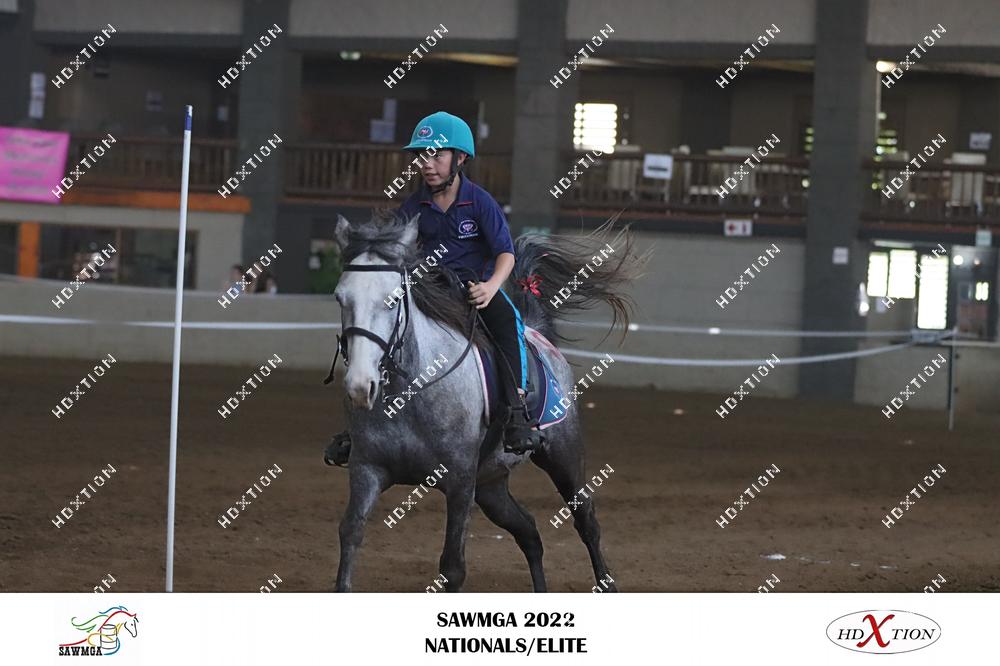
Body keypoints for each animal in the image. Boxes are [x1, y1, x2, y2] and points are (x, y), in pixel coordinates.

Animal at [328, 209, 646, 592]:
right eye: (340, 298)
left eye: (392, 299)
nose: (360, 386)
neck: (411, 394)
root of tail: (538, 337)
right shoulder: (366, 470)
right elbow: (350, 536)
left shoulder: (460, 480)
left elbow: (452, 567)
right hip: (491, 485)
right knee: (529, 531)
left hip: (563, 456)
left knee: (587, 521)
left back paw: (606, 582)